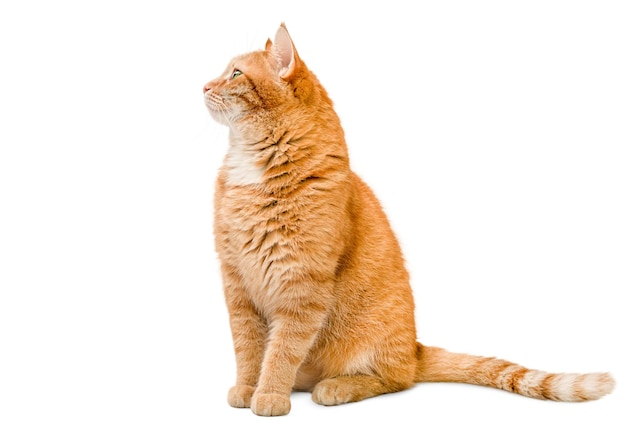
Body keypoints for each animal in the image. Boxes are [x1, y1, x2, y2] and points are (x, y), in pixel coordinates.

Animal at [202, 24, 612, 418]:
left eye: (235, 73)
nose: (204, 85)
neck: (255, 171)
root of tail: (415, 347)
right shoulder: (237, 285)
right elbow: (248, 348)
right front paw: (247, 388)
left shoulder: (302, 288)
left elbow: (281, 351)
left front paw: (270, 394)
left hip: (374, 345)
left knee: (396, 379)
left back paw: (337, 387)